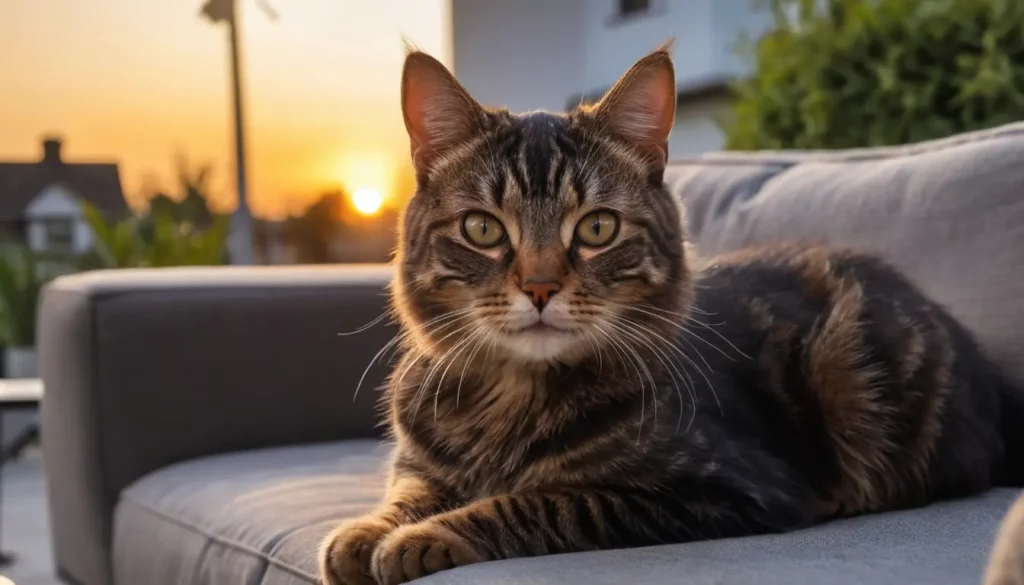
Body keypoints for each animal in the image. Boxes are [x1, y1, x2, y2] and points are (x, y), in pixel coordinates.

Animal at [319, 45, 1024, 585]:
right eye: (483, 229)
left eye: (597, 227)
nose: (540, 287)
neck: (509, 398)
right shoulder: (419, 464)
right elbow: (405, 492)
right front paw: (363, 533)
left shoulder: (715, 489)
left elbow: (537, 502)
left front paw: (424, 537)